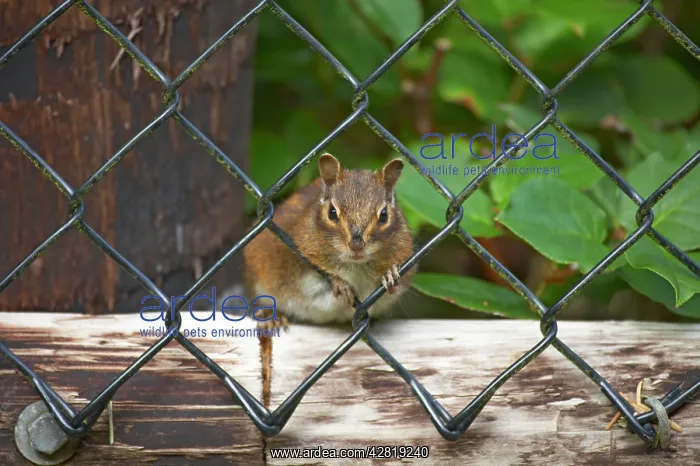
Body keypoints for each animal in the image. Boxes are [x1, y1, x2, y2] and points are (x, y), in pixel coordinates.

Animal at [242, 153, 415, 328]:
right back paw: (269, 316)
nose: (356, 245)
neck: (357, 267)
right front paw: (339, 284)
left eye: (384, 215)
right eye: (332, 212)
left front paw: (389, 274)